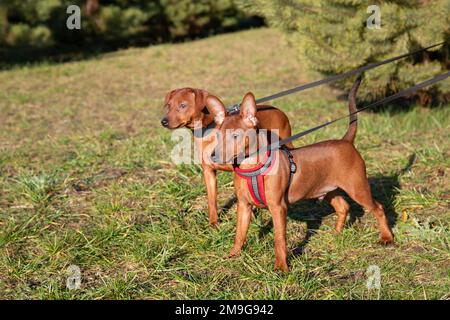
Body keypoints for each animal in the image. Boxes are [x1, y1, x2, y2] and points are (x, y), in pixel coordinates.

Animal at [160, 87, 294, 226]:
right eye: (168, 106)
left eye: (183, 105)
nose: (163, 121)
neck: (207, 131)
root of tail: (277, 109)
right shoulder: (208, 172)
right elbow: (212, 200)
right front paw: (213, 223)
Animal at [207, 79, 394, 272]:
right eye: (217, 136)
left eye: (236, 136)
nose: (213, 156)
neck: (251, 166)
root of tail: (346, 141)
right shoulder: (244, 206)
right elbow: (240, 234)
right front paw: (233, 255)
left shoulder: (278, 208)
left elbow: (279, 240)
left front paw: (281, 268)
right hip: (328, 190)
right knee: (343, 207)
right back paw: (336, 233)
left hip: (358, 189)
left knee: (378, 208)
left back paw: (387, 238)